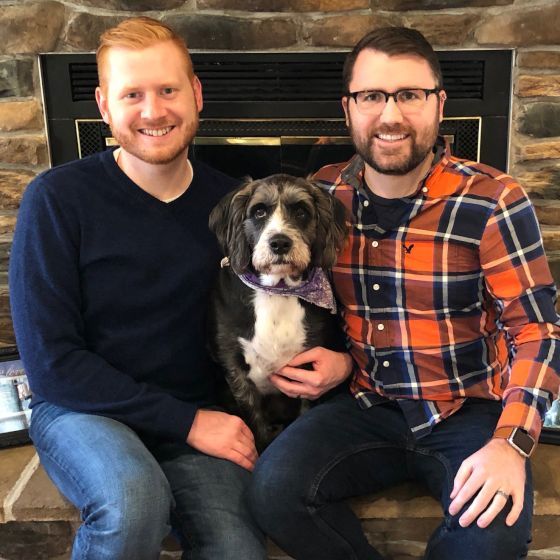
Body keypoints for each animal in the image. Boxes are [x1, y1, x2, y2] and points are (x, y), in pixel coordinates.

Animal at [208, 174, 347, 450]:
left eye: (302, 212)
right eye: (259, 211)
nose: (280, 243)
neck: (276, 290)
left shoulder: (310, 367)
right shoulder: (234, 368)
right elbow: (255, 421)